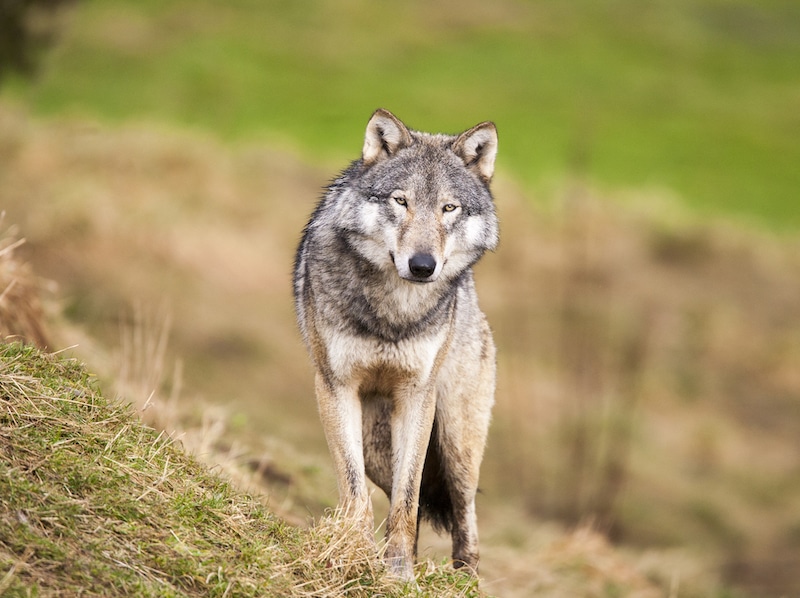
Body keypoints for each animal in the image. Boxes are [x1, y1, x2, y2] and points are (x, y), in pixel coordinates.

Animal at [290, 108, 496, 580]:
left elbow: (406, 499)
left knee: (465, 516)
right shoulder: (335, 388)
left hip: (457, 442)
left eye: (449, 208)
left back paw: (464, 580)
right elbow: (355, 492)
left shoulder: (417, 397)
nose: (422, 266)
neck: (393, 314)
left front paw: (398, 572)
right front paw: (358, 557)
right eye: (401, 202)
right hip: (376, 445)